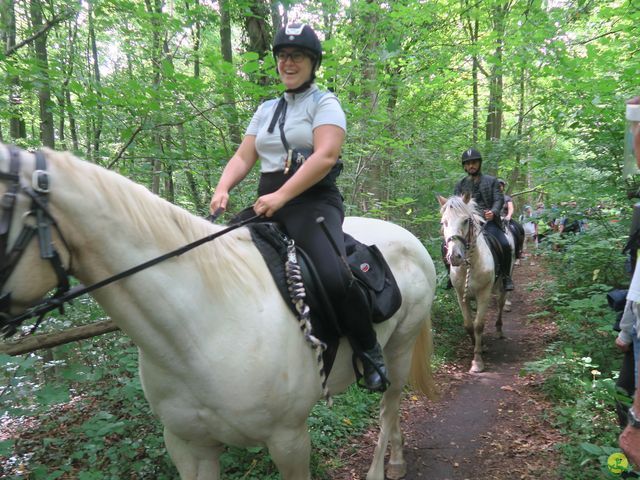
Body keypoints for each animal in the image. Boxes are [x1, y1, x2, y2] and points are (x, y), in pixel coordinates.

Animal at [0, 145, 438, 480]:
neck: (200, 326)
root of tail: (411, 238)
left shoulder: (289, 440)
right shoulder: (187, 444)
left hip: (398, 349)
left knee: (388, 406)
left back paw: (383, 467)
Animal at [440, 193, 516, 374]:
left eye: (466, 220)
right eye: (443, 222)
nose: (454, 257)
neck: (471, 263)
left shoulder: (483, 295)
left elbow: (479, 325)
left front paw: (477, 361)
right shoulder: (461, 296)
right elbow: (469, 325)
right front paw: (479, 346)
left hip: (503, 284)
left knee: (501, 304)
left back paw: (499, 330)